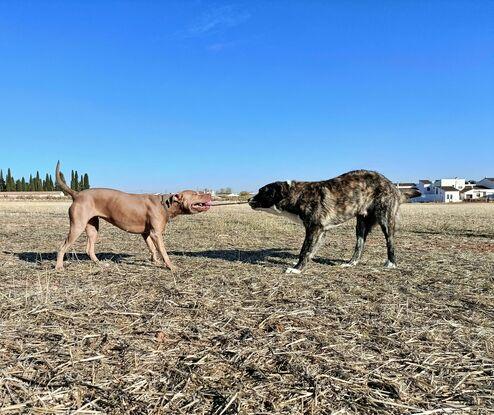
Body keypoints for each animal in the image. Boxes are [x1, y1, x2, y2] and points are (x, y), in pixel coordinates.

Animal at [55, 161, 211, 272]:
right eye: (196, 193)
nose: (209, 193)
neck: (165, 203)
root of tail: (77, 194)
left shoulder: (146, 233)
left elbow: (152, 249)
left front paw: (155, 261)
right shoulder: (156, 234)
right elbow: (163, 251)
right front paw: (171, 266)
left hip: (93, 227)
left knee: (89, 249)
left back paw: (100, 263)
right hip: (77, 226)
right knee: (62, 246)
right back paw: (59, 266)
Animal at [249, 171, 418, 274]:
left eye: (262, 191)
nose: (249, 199)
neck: (298, 194)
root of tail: (393, 186)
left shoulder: (314, 229)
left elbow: (304, 250)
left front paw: (297, 269)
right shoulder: (321, 231)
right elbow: (310, 251)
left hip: (385, 220)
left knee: (390, 243)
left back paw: (391, 263)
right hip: (361, 225)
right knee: (360, 245)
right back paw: (351, 263)